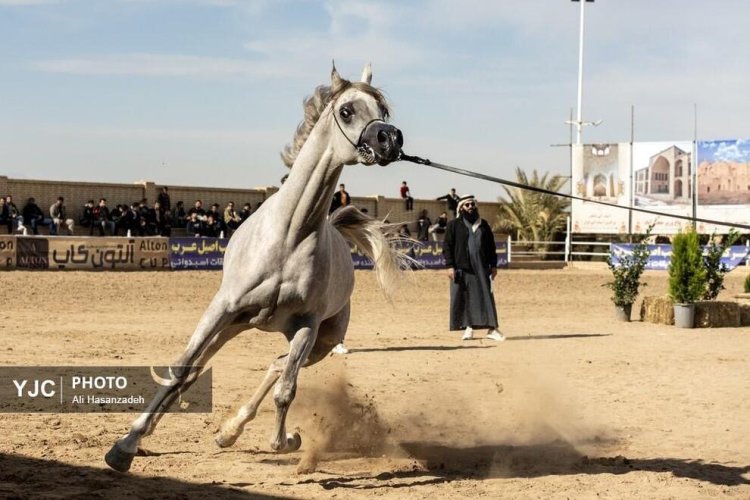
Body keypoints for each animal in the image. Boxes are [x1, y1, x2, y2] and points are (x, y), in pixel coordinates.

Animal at [105, 63, 408, 472]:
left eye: (383, 111)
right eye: (347, 110)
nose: (390, 138)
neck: (289, 235)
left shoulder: (307, 326)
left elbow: (286, 390)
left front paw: (288, 440)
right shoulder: (223, 308)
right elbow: (181, 368)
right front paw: (124, 447)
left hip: (320, 341)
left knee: (277, 367)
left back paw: (230, 431)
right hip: (233, 324)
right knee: (199, 367)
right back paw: (157, 431)